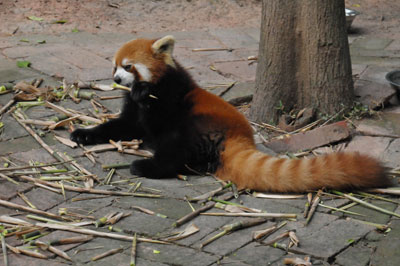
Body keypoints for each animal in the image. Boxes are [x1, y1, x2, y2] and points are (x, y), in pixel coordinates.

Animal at [69, 35, 390, 192]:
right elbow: (122, 126)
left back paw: (147, 166)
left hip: (197, 125)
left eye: (129, 67)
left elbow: (154, 117)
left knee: (176, 149)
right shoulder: (132, 114)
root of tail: (240, 134)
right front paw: (83, 133)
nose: (117, 79)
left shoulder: (171, 95)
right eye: (115, 66)